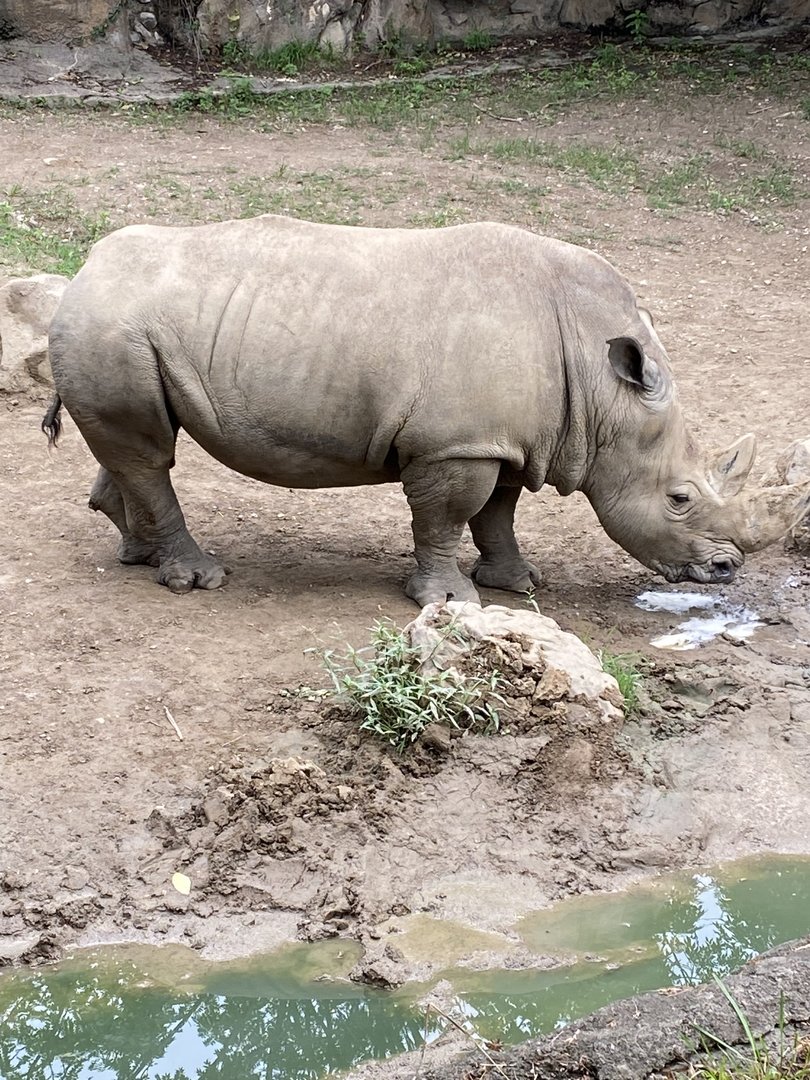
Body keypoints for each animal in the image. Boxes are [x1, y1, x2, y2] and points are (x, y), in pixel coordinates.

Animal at [42, 215, 808, 606]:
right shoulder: (457, 443)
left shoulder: (504, 437)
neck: (601, 386)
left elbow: (499, 512)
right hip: (113, 324)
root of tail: (81, 271)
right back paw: (197, 580)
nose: (727, 572)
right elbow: (448, 517)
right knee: (151, 452)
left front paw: (519, 583)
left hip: (118, 329)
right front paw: (448, 602)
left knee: (136, 447)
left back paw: (137, 555)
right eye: (679, 498)